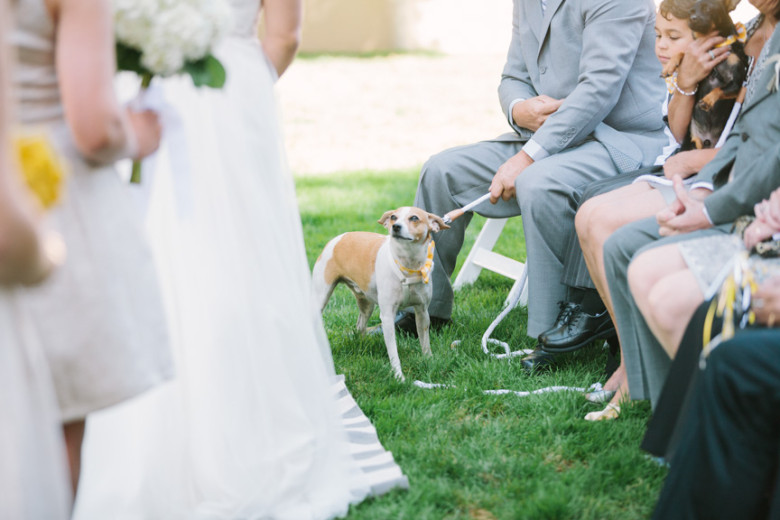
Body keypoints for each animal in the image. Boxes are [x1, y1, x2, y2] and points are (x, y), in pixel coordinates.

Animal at [310, 205, 448, 380]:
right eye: (394, 217)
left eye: (414, 218)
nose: (396, 227)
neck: (407, 266)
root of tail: (338, 238)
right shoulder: (388, 317)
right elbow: (393, 352)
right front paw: (399, 376)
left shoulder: (422, 312)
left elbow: (425, 342)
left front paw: (429, 360)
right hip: (320, 298)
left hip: (366, 304)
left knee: (360, 325)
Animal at [660, 0, 748, 149]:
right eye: (690, 12)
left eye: (708, 9)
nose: (692, 18)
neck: (714, 46)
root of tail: (708, 141)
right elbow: (683, 52)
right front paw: (669, 65)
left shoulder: (737, 85)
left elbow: (720, 88)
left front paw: (707, 100)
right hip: (692, 144)